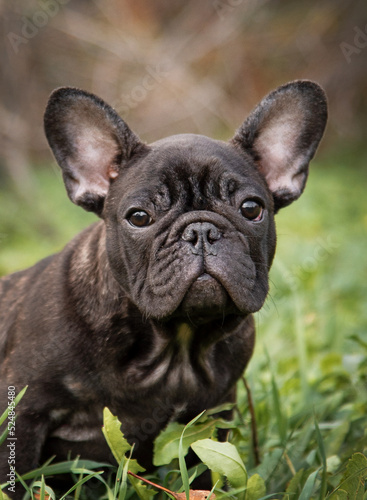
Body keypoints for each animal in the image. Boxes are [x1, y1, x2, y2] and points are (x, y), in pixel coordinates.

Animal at [0, 80, 328, 494]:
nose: (200, 231)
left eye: (252, 208)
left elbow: (206, 471)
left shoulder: (213, 419)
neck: (175, 343)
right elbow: (13, 475)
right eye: (139, 217)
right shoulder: (23, 412)